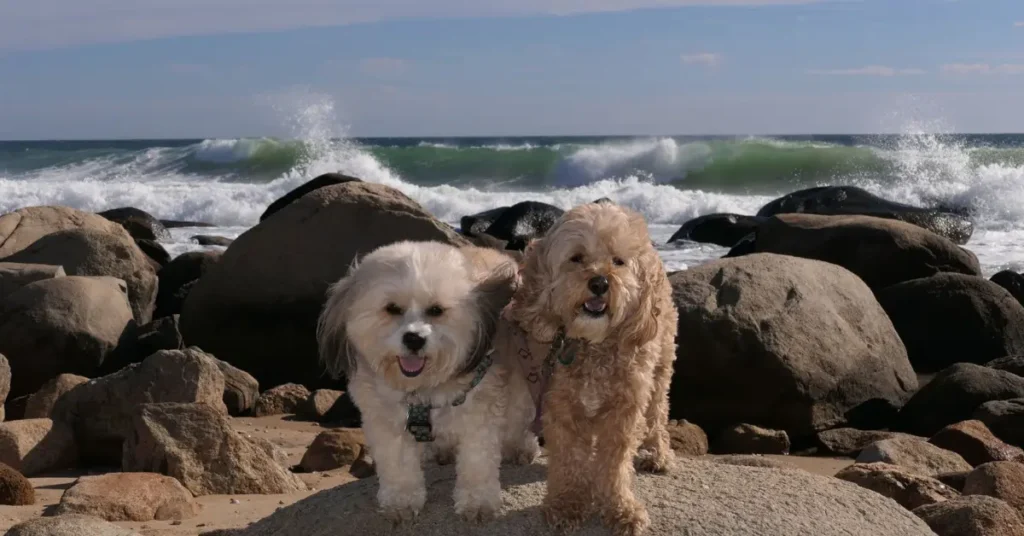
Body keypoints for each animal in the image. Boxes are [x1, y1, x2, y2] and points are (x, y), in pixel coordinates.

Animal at [315, 240, 540, 522]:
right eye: (392, 308)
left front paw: (478, 502)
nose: (414, 339)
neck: (421, 389)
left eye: (436, 310)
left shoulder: (480, 407)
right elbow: (398, 464)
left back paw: (519, 446)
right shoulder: (385, 418)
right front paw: (400, 502)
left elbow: (477, 459)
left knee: (516, 418)